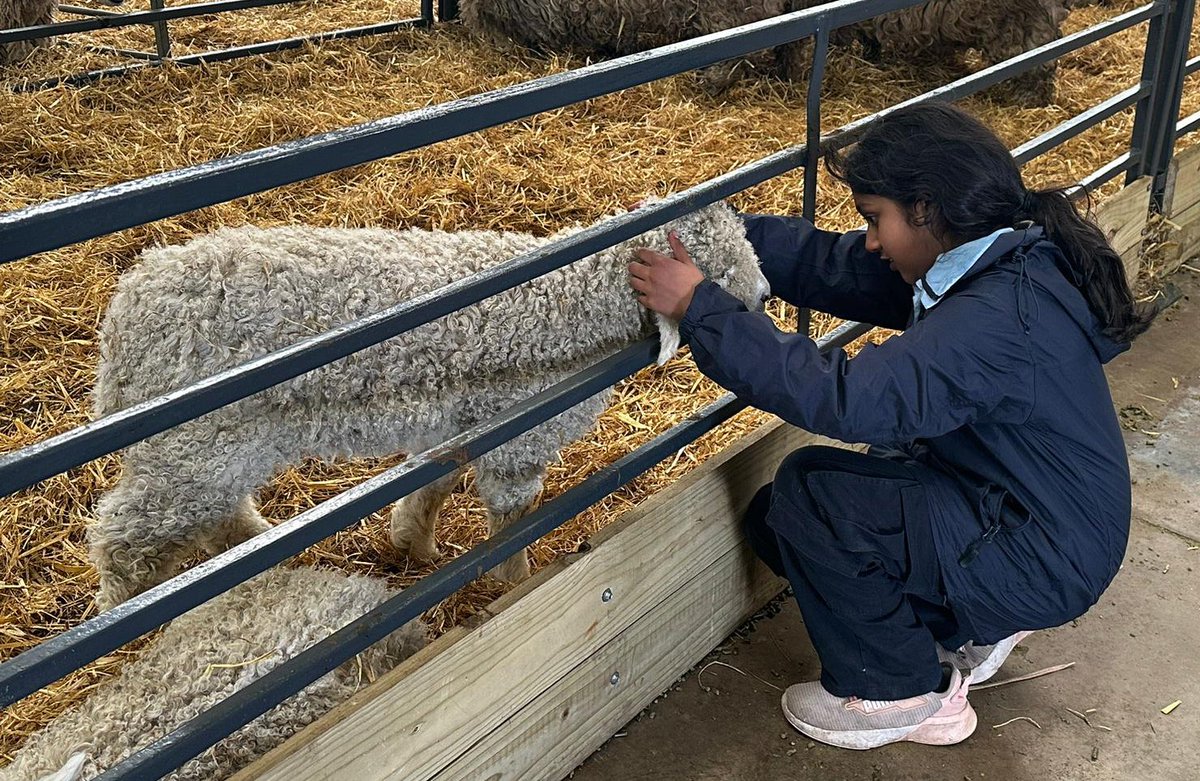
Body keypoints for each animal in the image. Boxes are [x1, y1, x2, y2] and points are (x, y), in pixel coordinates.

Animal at [91, 201, 768, 611]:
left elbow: (434, 480)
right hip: (191, 447)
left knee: (215, 517)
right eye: (713, 270)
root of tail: (126, 311)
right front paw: (516, 582)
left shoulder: (461, 423)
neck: (566, 305)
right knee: (126, 539)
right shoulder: (520, 436)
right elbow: (514, 517)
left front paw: (414, 541)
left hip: (212, 448)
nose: (764, 292)